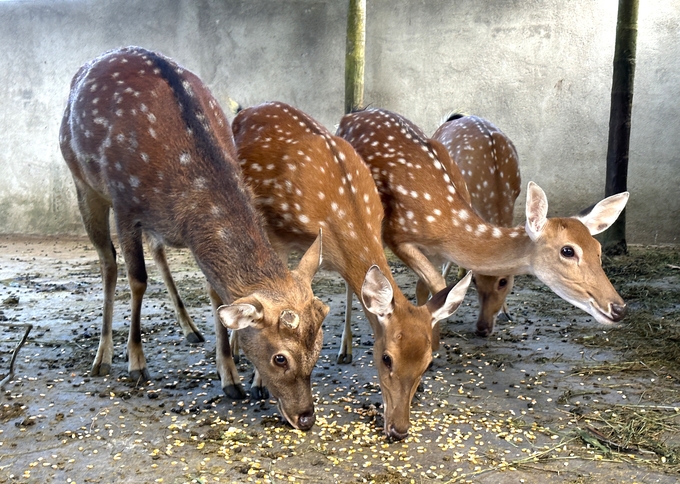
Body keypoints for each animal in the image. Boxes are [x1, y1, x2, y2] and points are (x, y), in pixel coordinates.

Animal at [58, 46, 330, 432]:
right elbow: (137, 280)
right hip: (83, 182)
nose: (306, 417)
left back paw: (189, 328)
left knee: (157, 252)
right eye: (280, 358)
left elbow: (216, 297)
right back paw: (104, 356)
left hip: (151, 225)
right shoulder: (126, 205)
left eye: (318, 347)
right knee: (108, 262)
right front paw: (137, 362)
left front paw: (230, 377)